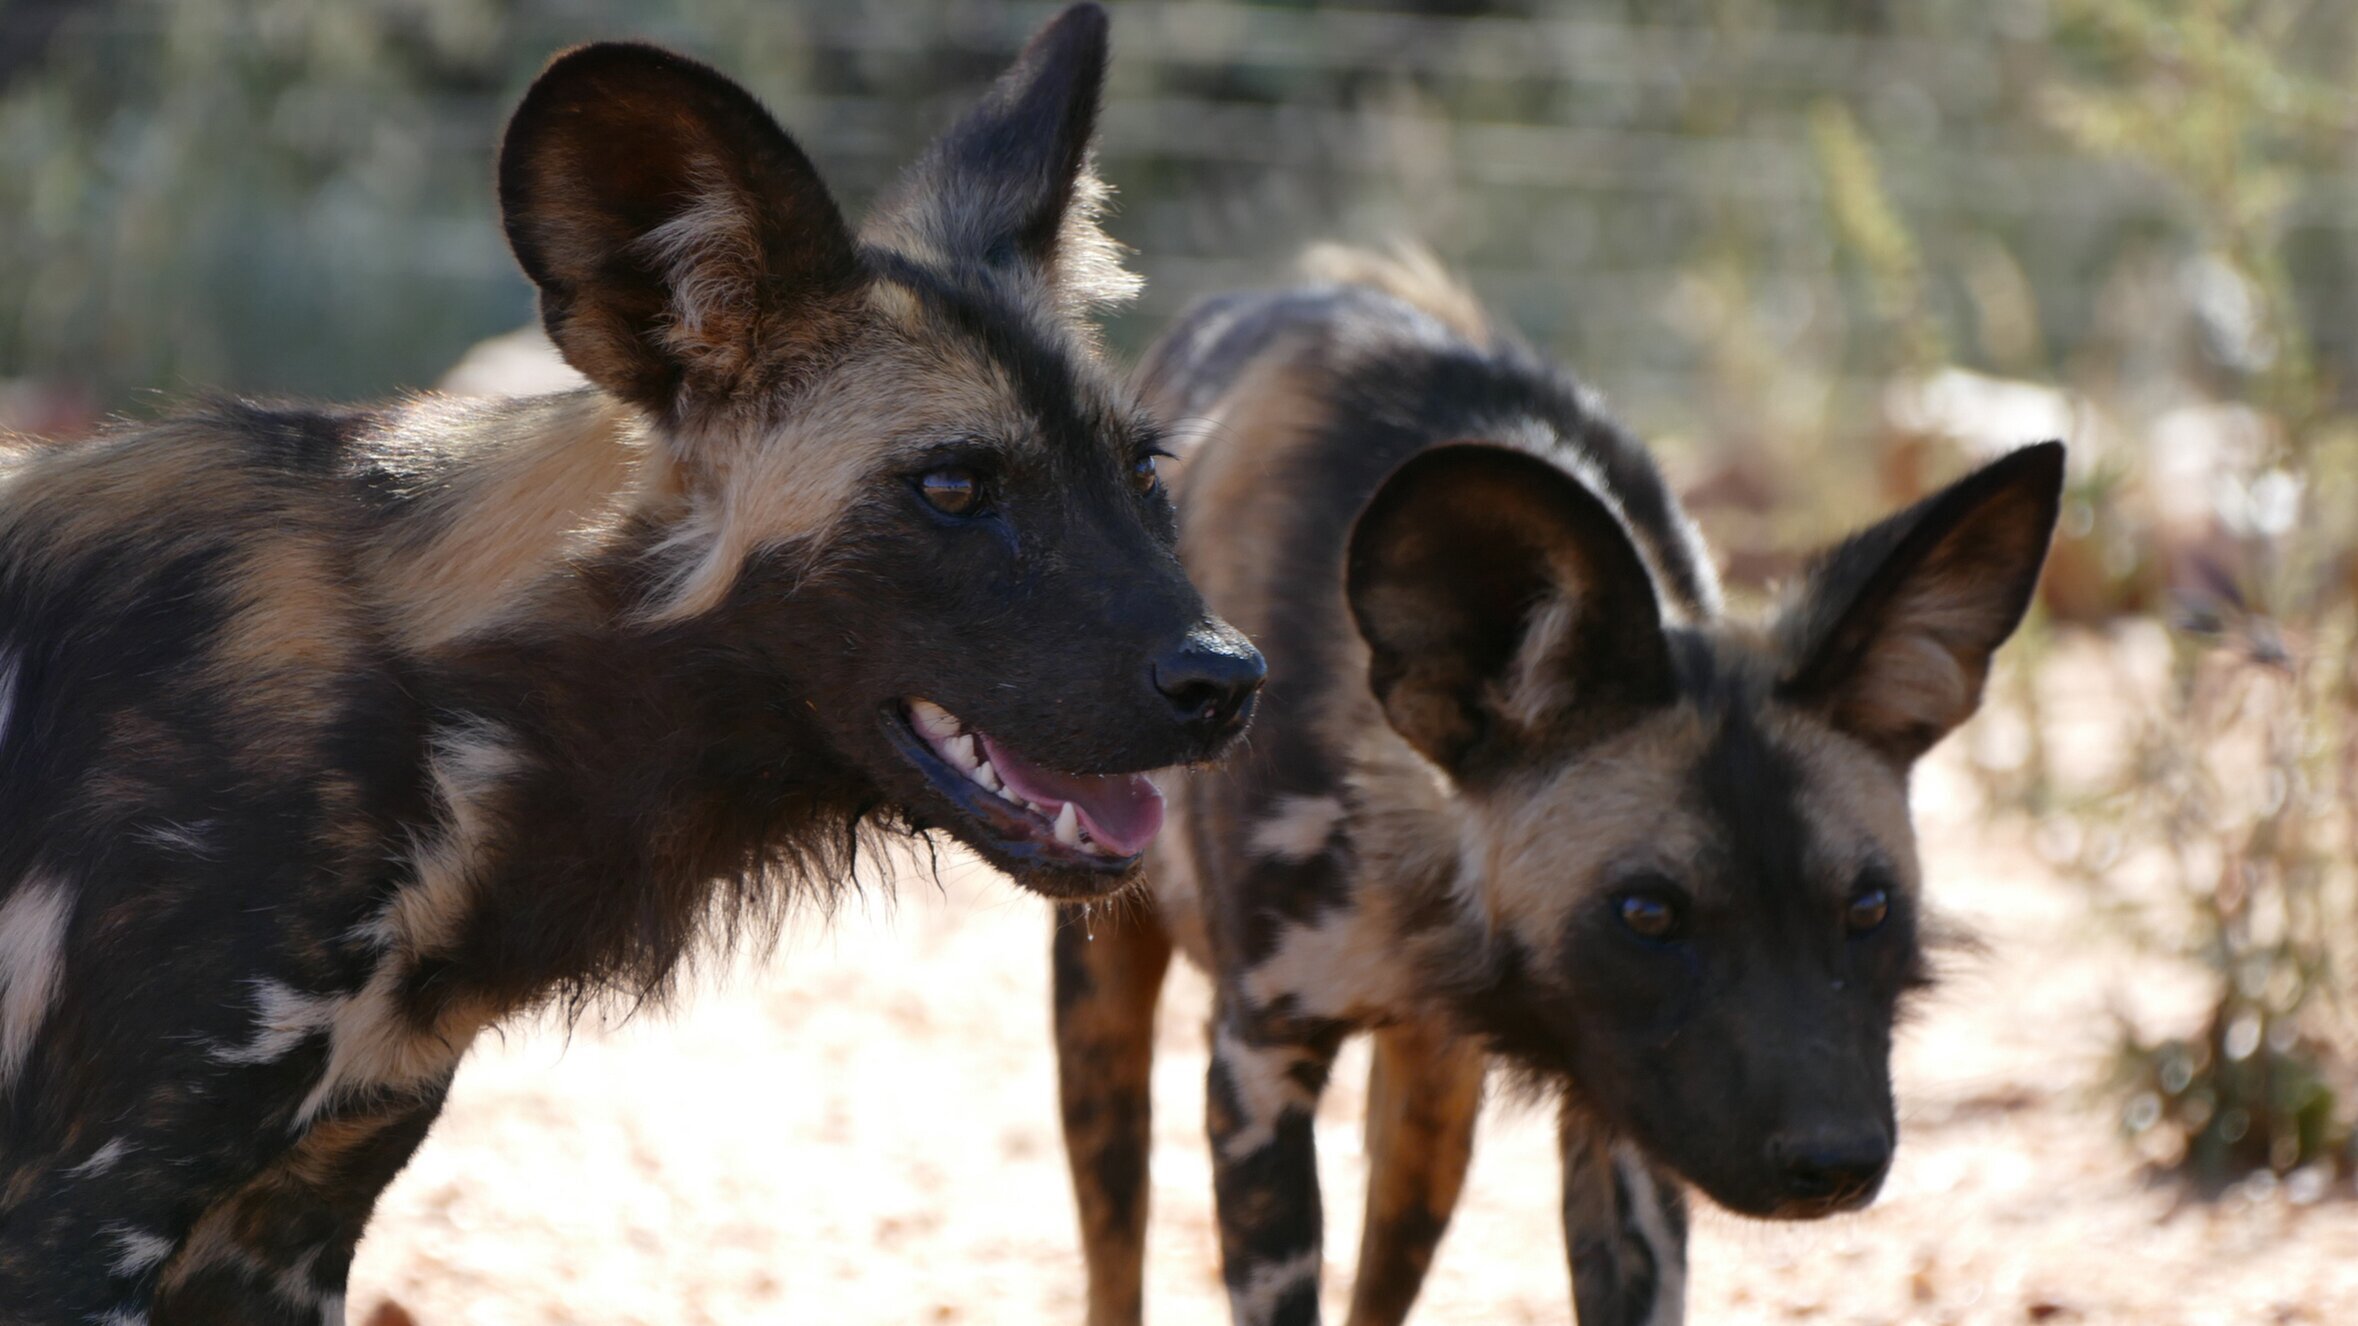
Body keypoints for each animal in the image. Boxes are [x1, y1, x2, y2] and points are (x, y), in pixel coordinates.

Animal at [0, 5, 1273, 1311]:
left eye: (1143, 473)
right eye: (956, 487)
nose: (1228, 680)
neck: (456, 721)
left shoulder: (291, 1221)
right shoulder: (88, 1219)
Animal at [1051, 250, 2065, 1321]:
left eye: (1869, 907)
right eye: (1648, 914)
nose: (1835, 1162)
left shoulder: (1623, 1115)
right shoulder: (1259, 1069)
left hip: (1434, 1113)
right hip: (1103, 1021)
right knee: (1114, 1255)